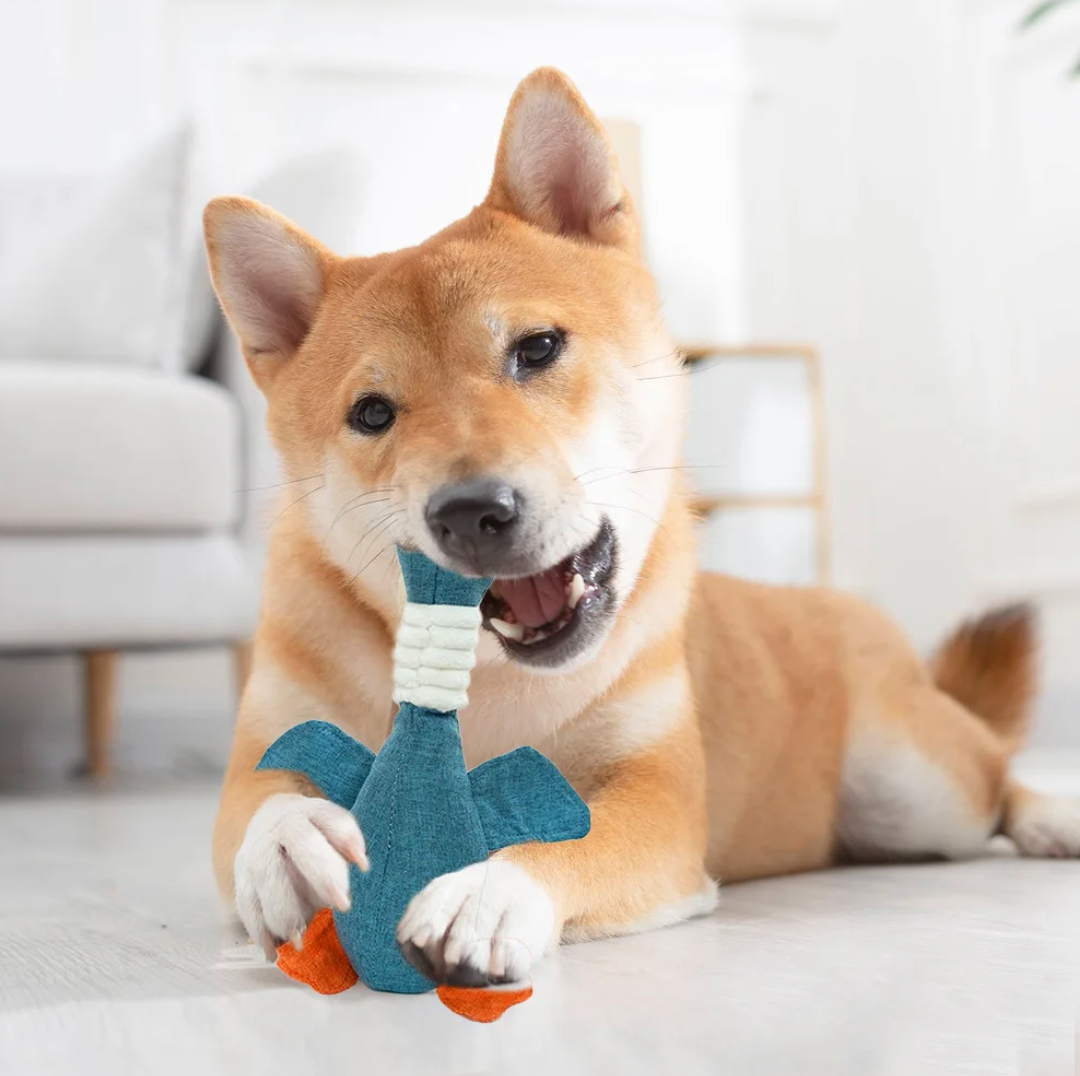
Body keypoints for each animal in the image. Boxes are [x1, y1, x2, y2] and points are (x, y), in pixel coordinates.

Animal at [203, 65, 1080, 985]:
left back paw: (1052, 816)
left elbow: (571, 844)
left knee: (996, 779)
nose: (471, 509)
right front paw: (290, 846)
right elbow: (259, 805)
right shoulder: (269, 742)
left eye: (538, 348)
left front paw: (489, 892)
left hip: (916, 788)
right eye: (372, 413)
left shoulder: (656, 795)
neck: (494, 688)